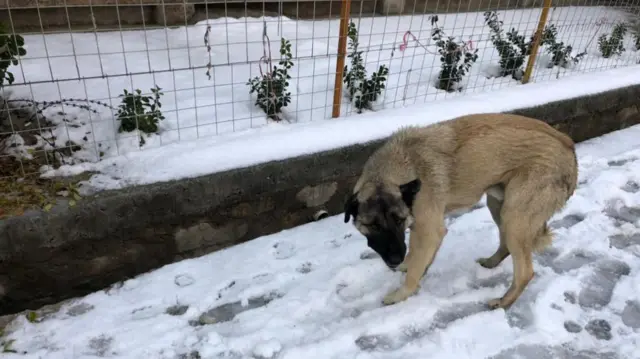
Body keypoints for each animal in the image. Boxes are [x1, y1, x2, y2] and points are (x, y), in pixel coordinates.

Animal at [344, 114, 580, 310]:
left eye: (399, 220)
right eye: (373, 225)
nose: (394, 259)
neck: (404, 166)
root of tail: (570, 148)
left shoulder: (429, 231)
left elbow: (415, 267)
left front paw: (402, 293)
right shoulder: (424, 230)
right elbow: (418, 257)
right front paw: (413, 267)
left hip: (515, 217)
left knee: (525, 272)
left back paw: (503, 302)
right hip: (499, 206)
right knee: (506, 245)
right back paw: (491, 263)